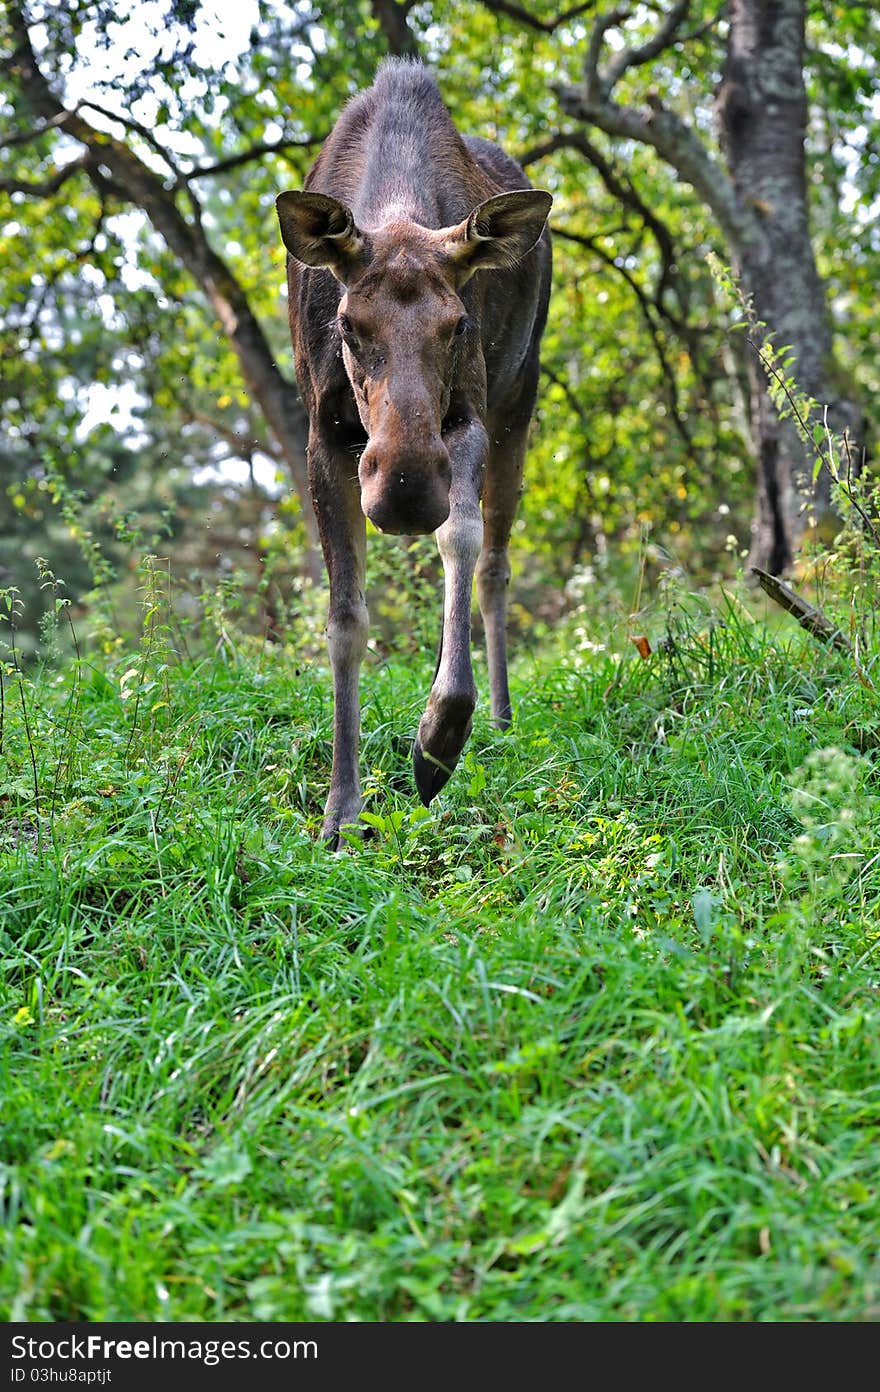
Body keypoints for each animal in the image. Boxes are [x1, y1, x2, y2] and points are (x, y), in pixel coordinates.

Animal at [275, 59, 551, 840]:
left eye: (457, 324)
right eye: (346, 323)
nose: (403, 488)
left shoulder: (469, 417)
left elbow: (460, 540)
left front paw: (437, 741)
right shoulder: (324, 437)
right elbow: (345, 619)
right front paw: (341, 809)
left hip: (520, 403)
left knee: (494, 563)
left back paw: (498, 716)